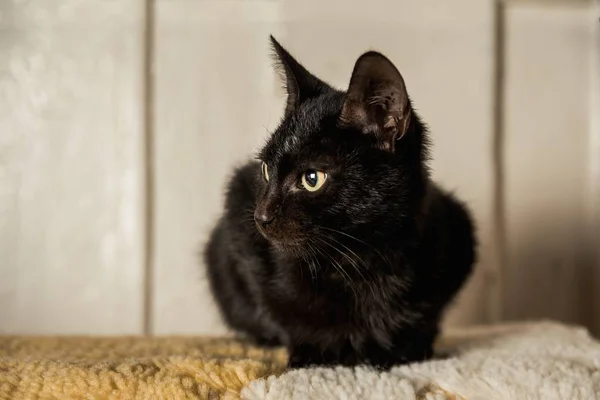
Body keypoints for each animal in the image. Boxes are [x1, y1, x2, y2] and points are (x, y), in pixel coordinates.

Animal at [204, 36, 476, 368]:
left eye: (312, 178)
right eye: (266, 170)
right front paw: (316, 352)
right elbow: (286, 310)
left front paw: (399, 350)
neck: (359, 260)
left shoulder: (457, 231)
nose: (261, 216)